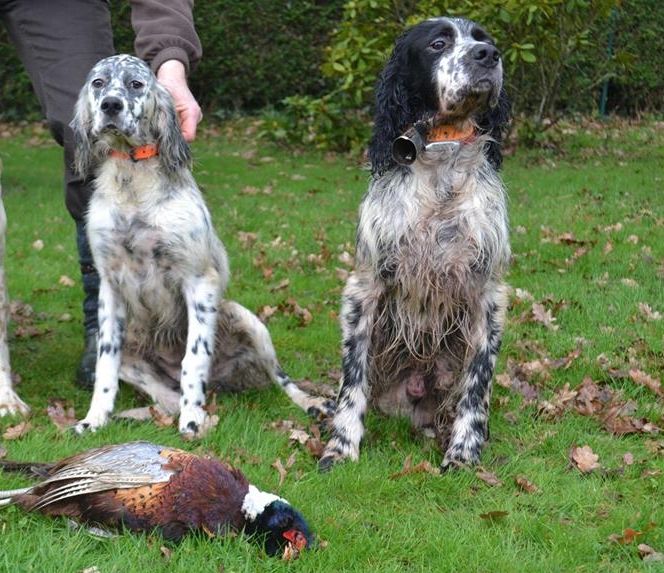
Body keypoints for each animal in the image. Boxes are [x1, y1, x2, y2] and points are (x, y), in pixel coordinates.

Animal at [70, 54, 334, 438]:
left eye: (136, 84)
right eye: (98, 83)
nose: (111, 106)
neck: (132, 181)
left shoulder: (199, 280)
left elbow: (193, 359)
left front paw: (192, 419)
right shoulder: (110, 287)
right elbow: (105, 366)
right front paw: (95, 418)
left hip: (247, 319)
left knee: (283, 381)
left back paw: (314, 405)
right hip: (134, 349)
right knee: (163, 398)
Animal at [320, 17, 510, 472]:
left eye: (484, 39)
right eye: (438, 44)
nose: (489, 56)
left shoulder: (488, 294)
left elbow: (477, 385)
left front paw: (464, 452)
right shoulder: (365, 286)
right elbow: (352, 381)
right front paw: (341, 446)